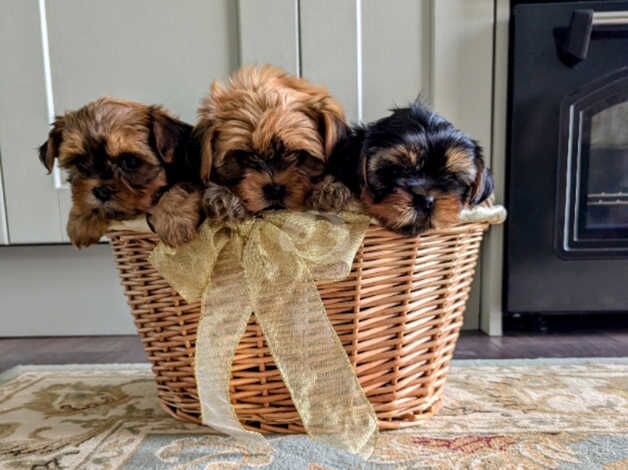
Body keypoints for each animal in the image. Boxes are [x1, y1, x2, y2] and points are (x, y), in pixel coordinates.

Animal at [36, 98, 202, 248]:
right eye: (80, 163)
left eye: (131, 162)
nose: (101, 191)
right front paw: (80, 220)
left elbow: (180, 189)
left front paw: (174, 222)